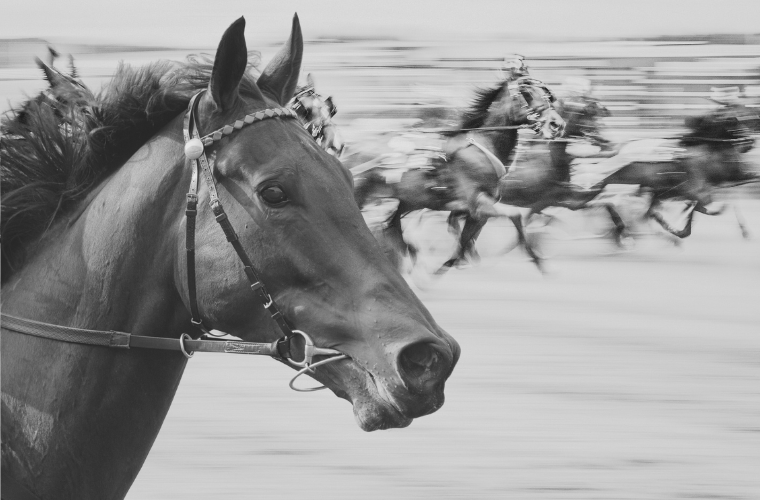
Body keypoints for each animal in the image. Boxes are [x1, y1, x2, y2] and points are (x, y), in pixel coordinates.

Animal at [352, 80, 565, 272]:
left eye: (549, 97)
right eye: (527, 94)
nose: (557, 124)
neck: (482, 147)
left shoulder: (474, 211)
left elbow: (465, 238)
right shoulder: (477, 204)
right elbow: (515, 215)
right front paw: (537, 260)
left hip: (411, 200)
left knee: (393, 226)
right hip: (365, 194)